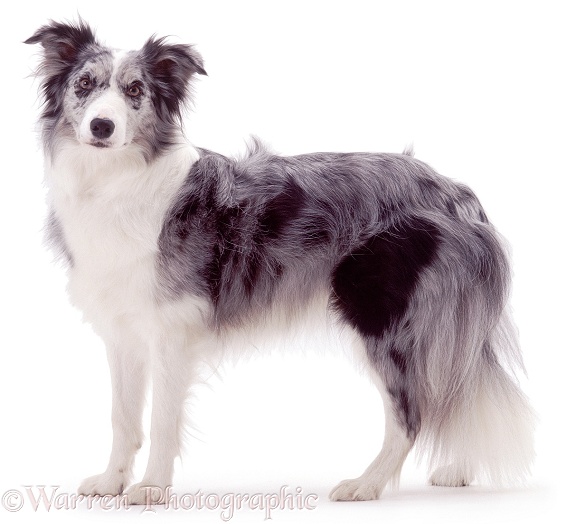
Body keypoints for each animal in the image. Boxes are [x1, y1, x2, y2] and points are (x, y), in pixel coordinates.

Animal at [25, 20, 532, 504]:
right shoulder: (124, 331)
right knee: (457, 384)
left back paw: (366, 485)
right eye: (85, 84)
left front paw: (150, 489)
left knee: (412, 412)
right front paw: (112, 482)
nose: (101, 127)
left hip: (381, 316)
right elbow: (123, 417)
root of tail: (456, 193)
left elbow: (163, 420)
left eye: (135, 91)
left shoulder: (172, 329)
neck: (113, 182)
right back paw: (459, 470)